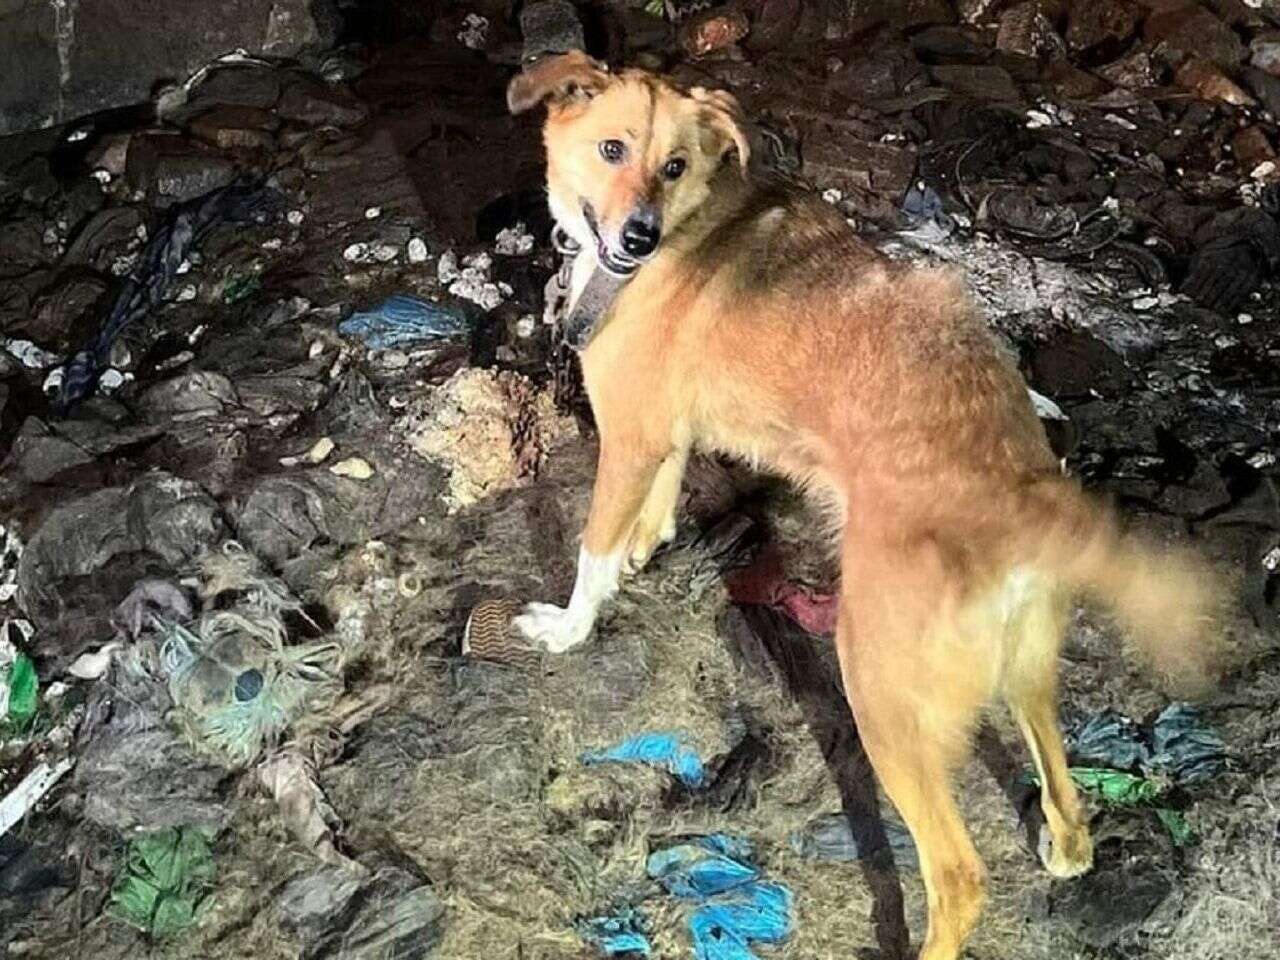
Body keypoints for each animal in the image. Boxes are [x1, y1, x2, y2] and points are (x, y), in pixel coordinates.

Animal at [504, 52, 1223, 960]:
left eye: (674, 166)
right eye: (612, 148)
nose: (637, 238)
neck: (688, 223)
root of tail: (1021, 494)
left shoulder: (627, 435)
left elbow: (592, 553)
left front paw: (569, 627)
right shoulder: (662, 429)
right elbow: (660, 495)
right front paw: (647, 543)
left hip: (876, 690)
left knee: (957, 875)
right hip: (1025, 667)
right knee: (1064, 790)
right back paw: (1064, 848)